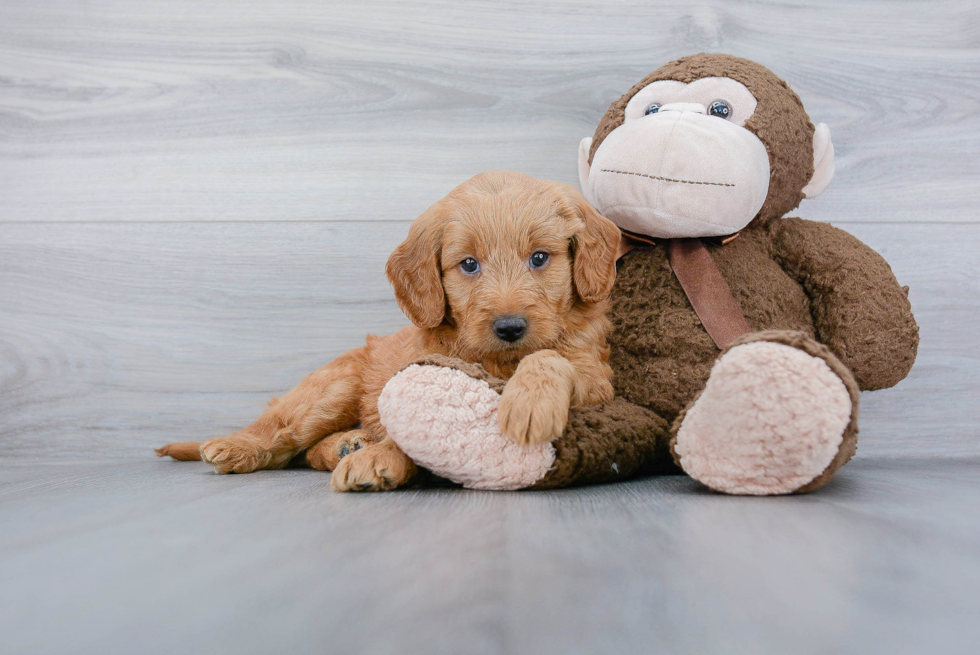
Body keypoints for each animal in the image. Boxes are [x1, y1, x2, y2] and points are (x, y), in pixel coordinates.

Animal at [159, 169, 620, 492]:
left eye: (540, 258)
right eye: (469, 265)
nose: (509, 327)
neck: (500, 362)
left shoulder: (595, 377)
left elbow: (549, 355)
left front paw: (529, 401)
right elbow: (413, 420)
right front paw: (381, 457)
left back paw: (347, 444)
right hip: (332, 388)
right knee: (283, 437)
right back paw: (243, 445)